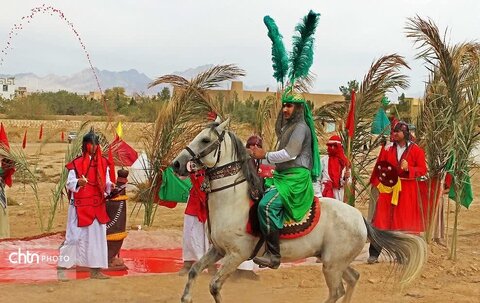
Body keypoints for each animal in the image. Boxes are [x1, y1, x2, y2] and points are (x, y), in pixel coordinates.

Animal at [172, 119, 428, 303]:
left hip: (332, 265)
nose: (177, 164)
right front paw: (186, 297)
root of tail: (360, 218)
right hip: (334, 261)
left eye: (205, 140)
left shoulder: (237, 255)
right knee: (353, 279)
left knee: (337, 291)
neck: (234, 201)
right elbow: (194, 271)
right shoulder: (217, 250)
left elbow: (214, 286)